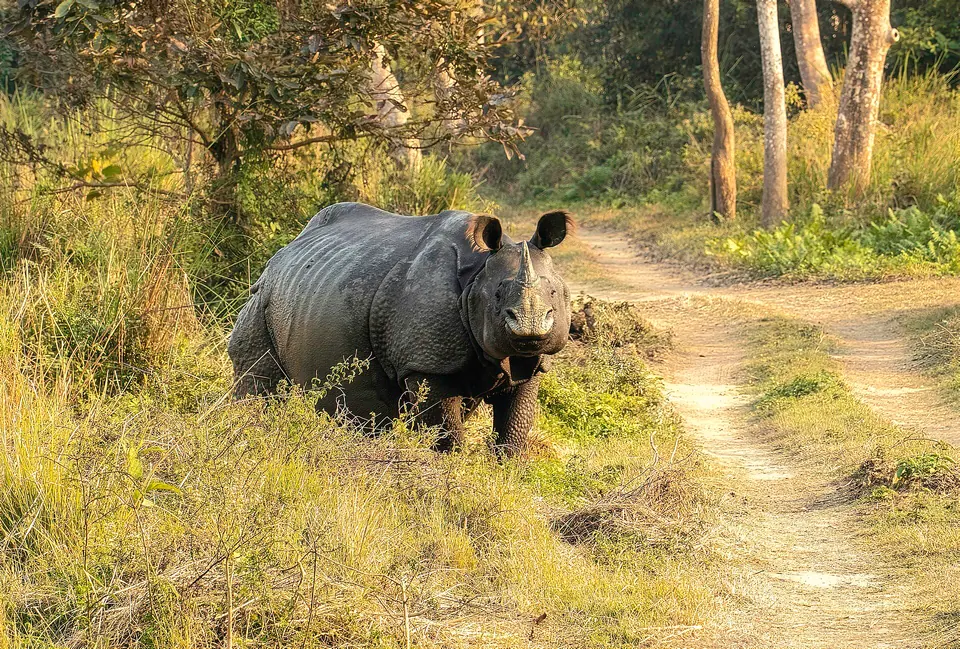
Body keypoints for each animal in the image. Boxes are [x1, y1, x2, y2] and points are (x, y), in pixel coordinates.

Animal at [228, 202, 574, 456]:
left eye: (554, 293)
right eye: (498, 295)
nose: (530, 329)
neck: (475, 275)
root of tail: (284, 251)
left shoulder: (529, 362)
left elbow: (515, 423)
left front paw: (508, 466)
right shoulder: (425, 361)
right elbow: (445, 429)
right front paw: (454, 466)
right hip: (264, 296)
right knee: (260, 379)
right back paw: (250, 429)